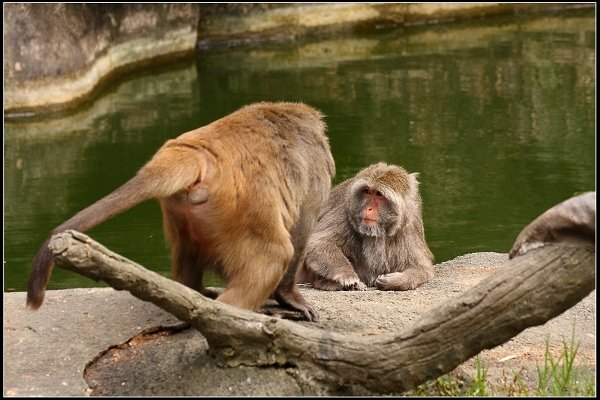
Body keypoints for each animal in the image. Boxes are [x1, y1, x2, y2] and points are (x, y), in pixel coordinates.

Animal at [28, 101, 336, 320]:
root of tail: (199, 153)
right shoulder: (316, 175)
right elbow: (300, 235)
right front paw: (290, 298)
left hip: (185, 210)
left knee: (191, 249)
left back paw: (197, 296)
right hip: (242, 205)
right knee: (274, 254)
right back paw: (226, 318)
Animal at [302, 162, 434, 290]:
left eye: (379, 194)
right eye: (367, 191)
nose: (368, 208)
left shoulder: (411, 222)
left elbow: (423, 267)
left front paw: (397, 280)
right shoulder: (346, 210)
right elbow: (317, 243)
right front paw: (347, 276)